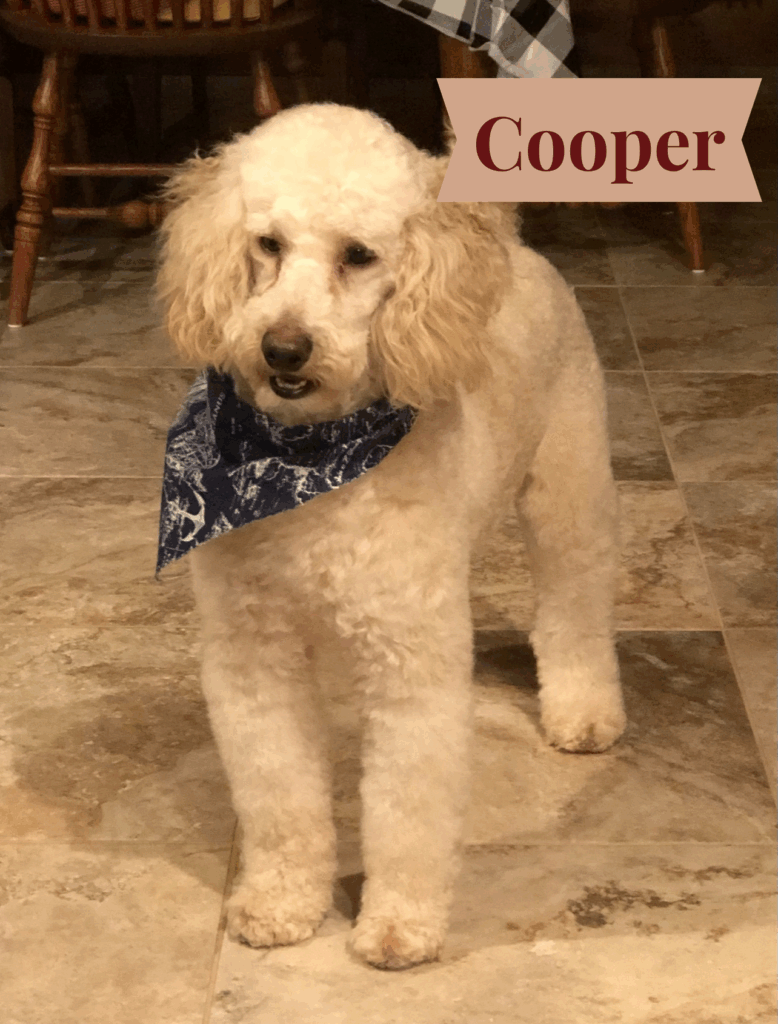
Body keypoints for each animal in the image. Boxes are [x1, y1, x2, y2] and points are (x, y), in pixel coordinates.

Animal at [156, 103, 626, 970]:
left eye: (359, 255)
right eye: (266, 244)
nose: (282, 348)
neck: (308, 462)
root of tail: (513, 248)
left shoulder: (411, 665)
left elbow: (407, 811)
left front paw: (400, 925)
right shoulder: (253, 655)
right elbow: (280, 798)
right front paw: (280, 904)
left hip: (569, 492)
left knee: (574, 613)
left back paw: (582, 712)